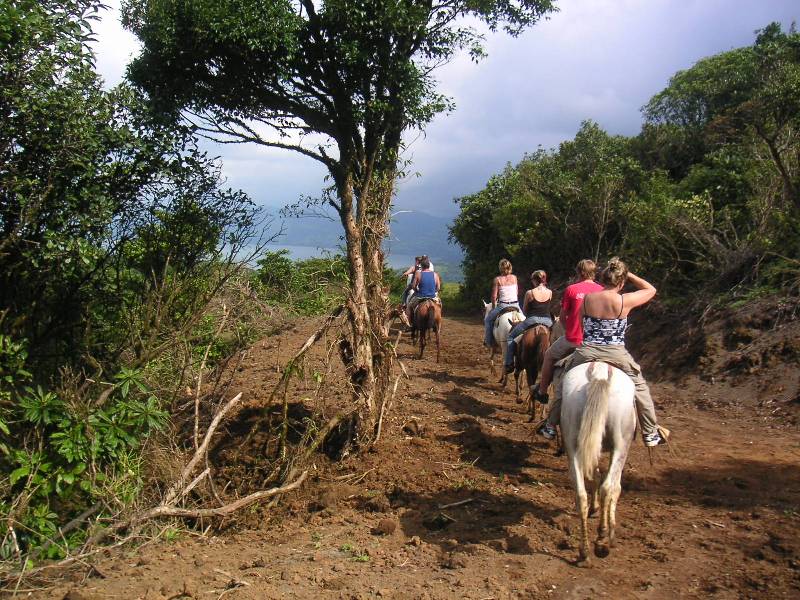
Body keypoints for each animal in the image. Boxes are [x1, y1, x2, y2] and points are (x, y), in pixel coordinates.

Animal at [560, 360, 636, 568]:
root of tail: (599, 376)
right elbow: (614, 488)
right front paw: (610, 532)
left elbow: (594, 477)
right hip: (621, 443)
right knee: (608, 487)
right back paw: (602, 541)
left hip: (573, 444)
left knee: (580, 494)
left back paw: (584, 552)